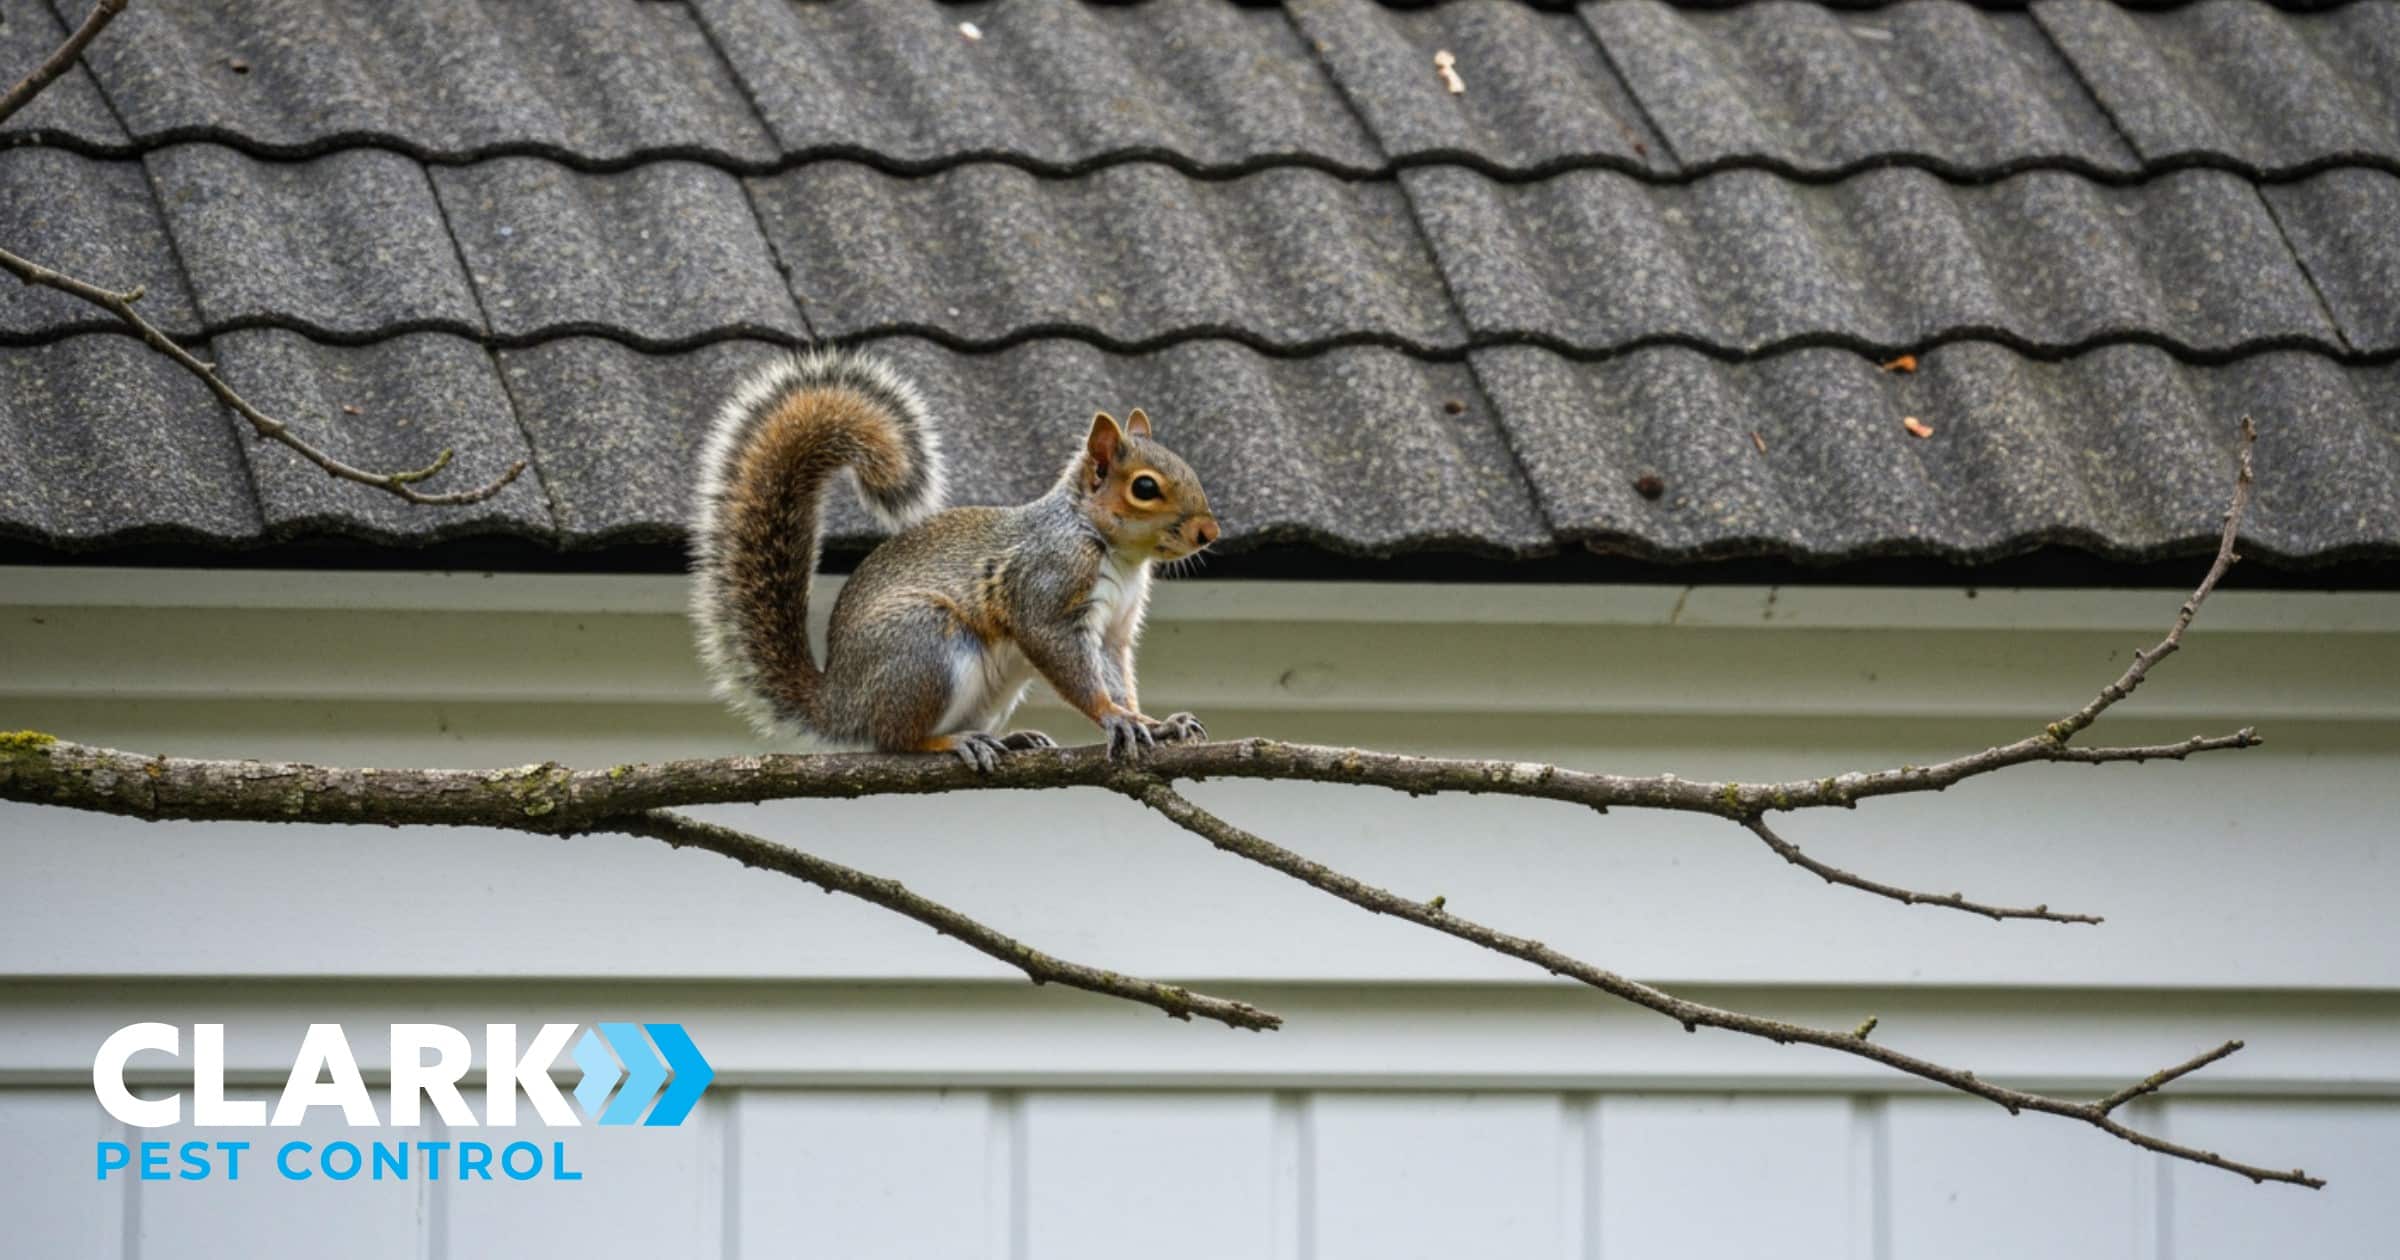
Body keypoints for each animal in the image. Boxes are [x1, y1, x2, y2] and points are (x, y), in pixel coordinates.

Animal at [689, 347, 1221, 771]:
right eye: (1145, 487)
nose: (1209, 532)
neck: (1118, 553)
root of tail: (841, 701)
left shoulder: (1114, 631)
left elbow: (1116, 675)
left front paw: (1153, 722)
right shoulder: (1048, 583)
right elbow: (1064, 658)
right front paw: (1114, 717)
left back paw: (1008, 738)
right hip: (925, 648)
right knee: (894, 740)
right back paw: (949, 742)